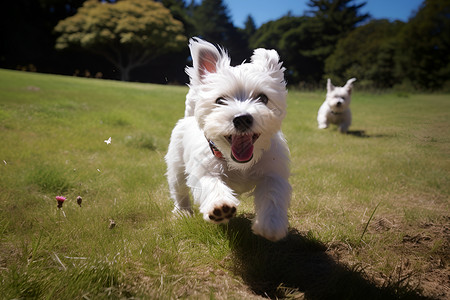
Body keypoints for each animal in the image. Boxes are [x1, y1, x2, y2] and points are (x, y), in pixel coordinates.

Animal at [165, 38, 292, 243]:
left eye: (262, 98)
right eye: (220, 100)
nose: (242, 118)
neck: (239, 164)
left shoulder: (274, 172)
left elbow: (273, 194)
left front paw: (271, 225)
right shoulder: (204, 170)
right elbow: (212, 184)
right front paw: (220, 206)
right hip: (176, 167)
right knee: (179, 191)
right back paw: (182, 212)